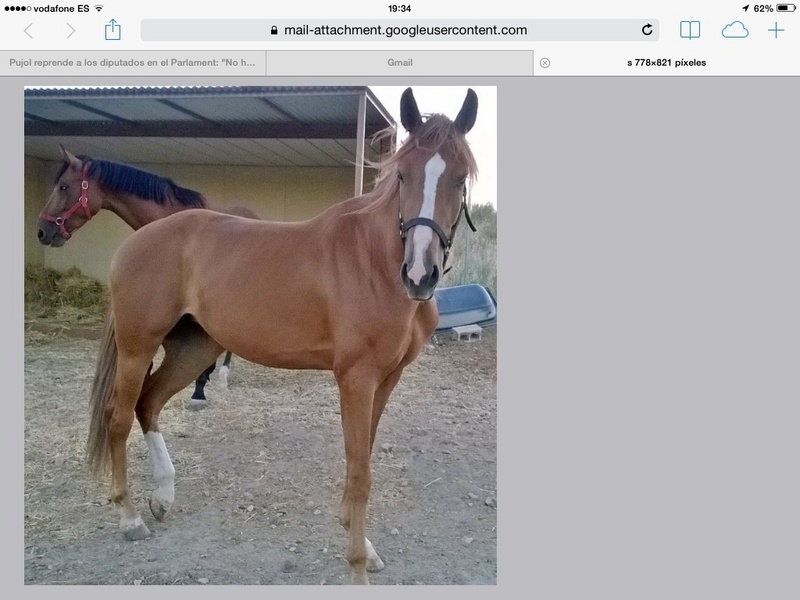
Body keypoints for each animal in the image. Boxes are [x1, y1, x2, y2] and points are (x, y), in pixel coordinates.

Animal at [86, 87, 479, 584]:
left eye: (460, 177)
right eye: (403, 174)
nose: (419, 275)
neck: (374, 262)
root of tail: (135, 242)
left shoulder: (386, 379)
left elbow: (363, 457)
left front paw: (361, 543)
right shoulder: (356, 379)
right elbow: (360, 471)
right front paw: (357, 565)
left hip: (195, 348)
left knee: (148, 404)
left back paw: (163, 498)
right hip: (137, 349)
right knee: (119, 417)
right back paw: (130, 517)